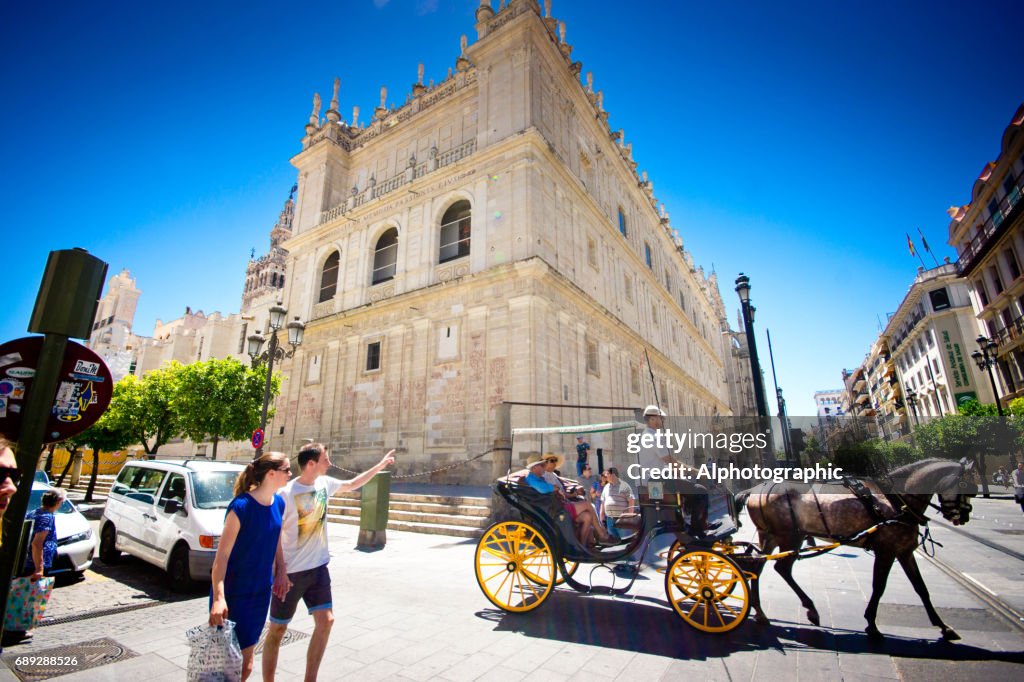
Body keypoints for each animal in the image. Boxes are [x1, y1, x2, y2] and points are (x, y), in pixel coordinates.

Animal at [737, 456, 974, 638]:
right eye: (965, 486)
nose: (963, 517)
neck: (898, 501)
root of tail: (755, 489)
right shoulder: (887, 550)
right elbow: (879, 586)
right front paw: (872, 624)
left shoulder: (904, 551)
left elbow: (921, 588)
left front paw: (943, 626)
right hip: (789, 536)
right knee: (781, 568)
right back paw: (809, 609)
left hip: (772, 536)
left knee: (758, 567)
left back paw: (762, 612)